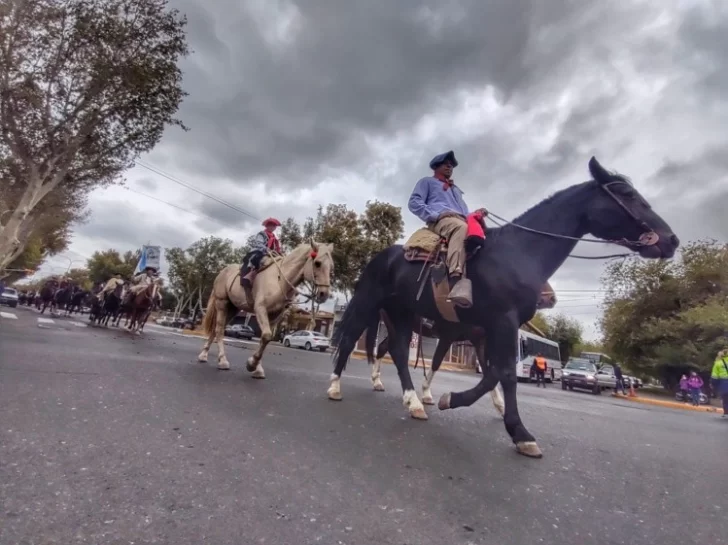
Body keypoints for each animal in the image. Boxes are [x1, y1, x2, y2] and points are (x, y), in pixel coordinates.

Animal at [196, 240, 332, 376]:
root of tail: (221, 272)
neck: (279, 280)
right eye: (317, 263)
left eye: (331, 266)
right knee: (219, 329)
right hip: (222, 303)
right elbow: (266, 336)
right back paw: (223, 361)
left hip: (233, 308)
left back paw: (203, 355)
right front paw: (251, 364)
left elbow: (265, 339)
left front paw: (257, 369)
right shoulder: (260, 308)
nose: (324, 294)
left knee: (217, 328)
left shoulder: (275, 314)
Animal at [332, 157, 684, 460]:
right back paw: (336, 387)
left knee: (398, 351)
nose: (672, 239)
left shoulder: (489, 329)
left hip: (401, 313)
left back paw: (413, 402)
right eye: (626, 194)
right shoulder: (500, 322)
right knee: (351, 340)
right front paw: (519, 433)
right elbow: (505, 374)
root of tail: (381, 256)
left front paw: (453, 400)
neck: (518, 252)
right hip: (369, 304)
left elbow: (494, 373)